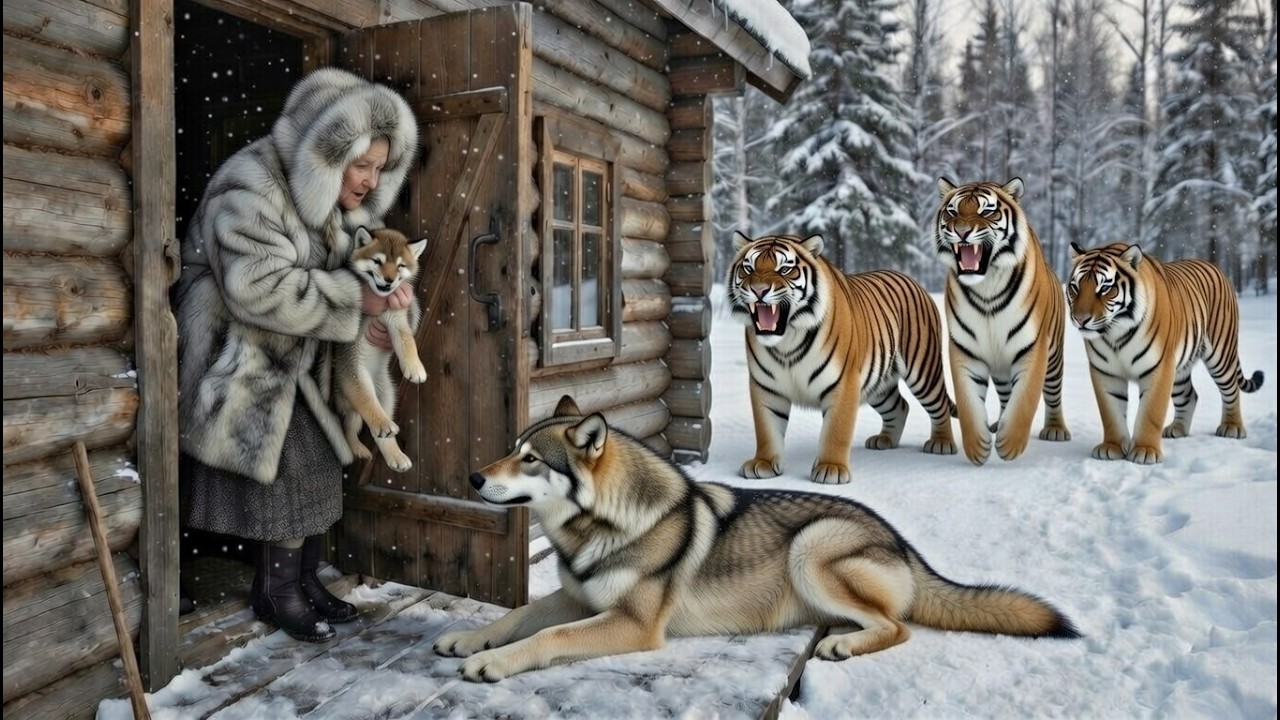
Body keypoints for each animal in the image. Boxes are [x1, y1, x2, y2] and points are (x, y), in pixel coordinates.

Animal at [333, 226, 427, 472]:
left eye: (401, 265)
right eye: (377, 261)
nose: (389, 279)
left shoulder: (397, 320)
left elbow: (407, 342)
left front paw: (415, 368)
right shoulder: (350, 356)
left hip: (388, 394)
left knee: (372, 431)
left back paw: (395, 456)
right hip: (357, 384)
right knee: (358, 418)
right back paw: (370, 437)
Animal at [434, 396, 1080, 682]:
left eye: (530, 459)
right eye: (511, 449)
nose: (473, 478)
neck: (602, 527)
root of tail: (901, 542)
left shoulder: (632, 624)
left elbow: (549, 636)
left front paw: (493, 662)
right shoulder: (576, 595)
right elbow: (519, 615)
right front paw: (469, 639)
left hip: (811, 546)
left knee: (897, 627)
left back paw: (842, 646)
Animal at [726, 231, 956, 485]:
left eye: (785, 269)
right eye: (748, 268)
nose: (759, 290)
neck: (787, 342)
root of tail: (912, 280)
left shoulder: (844, 383)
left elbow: (836, 430)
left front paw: (831, 468)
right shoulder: (766, 387)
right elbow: (767, 429)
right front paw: (764, 464)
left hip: (924, 371)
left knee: (939, 406)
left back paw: (941, 443)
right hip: (879, 386)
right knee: (900, 406)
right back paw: (885, 440)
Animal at [934, 177, 1071, 465]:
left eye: (987, 211)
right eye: (952, 211)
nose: (961, 231)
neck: (987, 287)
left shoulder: (1033, 347)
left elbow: (1025, 398)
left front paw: (1010, 445)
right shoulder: (965, 349)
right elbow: (969, 402)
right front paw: (978, 447)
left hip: (1054, 358)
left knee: (1053, 394)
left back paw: (1055, 430)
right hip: (1000, 365)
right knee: (1008, 394)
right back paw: (999, 424)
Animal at [1066, 242, 1264, 464]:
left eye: (1105, 288)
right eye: (1075, 287)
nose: (1080, 319)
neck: (1115, 333)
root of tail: (1214, 265)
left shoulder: (1159, 368)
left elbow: (1150, 413)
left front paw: (1145, 450)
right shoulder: (1106, 372)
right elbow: (1111, 413)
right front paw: (1112, 447)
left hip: (1221, 355)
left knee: (1231, 390)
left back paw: (1232, 427)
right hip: (1179, 369)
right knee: (1190, 395)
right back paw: (1177, 429)